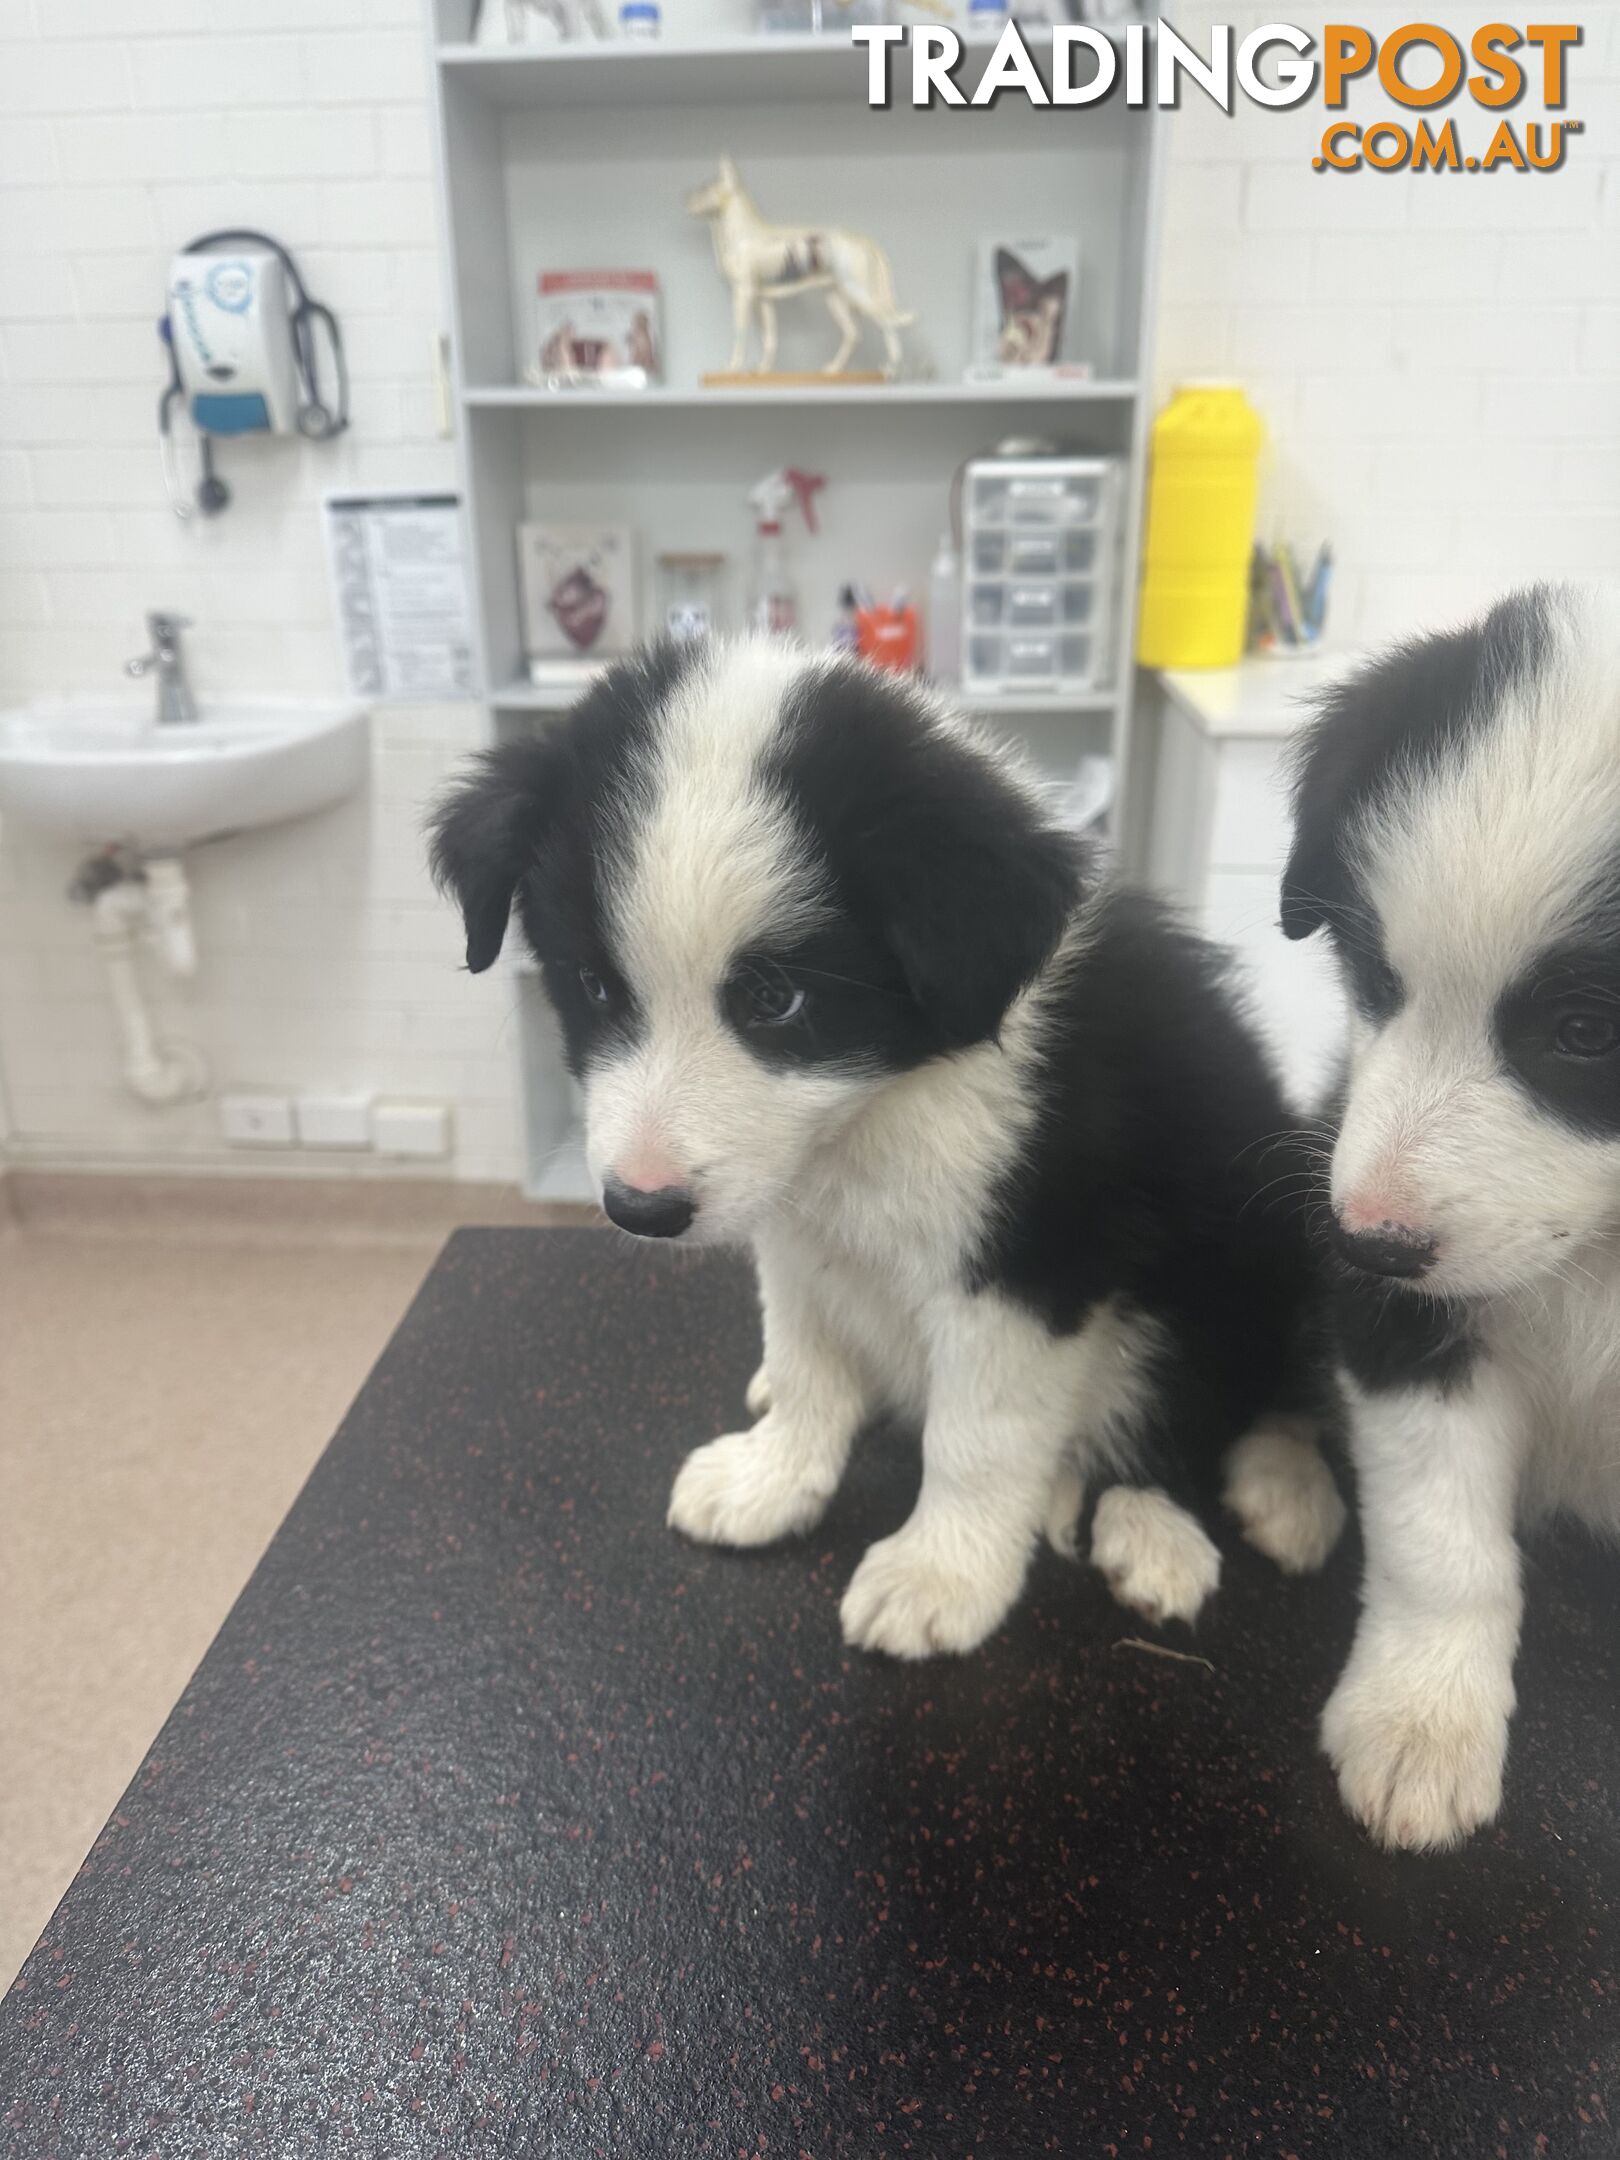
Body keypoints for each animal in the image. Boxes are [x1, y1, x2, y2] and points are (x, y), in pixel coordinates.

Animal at [432, 635, 1347, 1650]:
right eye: (593, 987)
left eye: (776, 999)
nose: (642, 1208)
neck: (872, 1116)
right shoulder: (797, 1236)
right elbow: (807, 1364)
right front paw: (771, 1480)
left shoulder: (1030, 1264)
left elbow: (977, 1434)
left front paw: (941, 1573)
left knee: (1244, 1400)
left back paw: (1217, 1514)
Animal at [1287, 583, 1620, 1848]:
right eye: (1373, 974)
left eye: (1587, 1032)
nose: (1363, 1242)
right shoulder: (1408, 1334)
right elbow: (1443, 1541)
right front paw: (1420, 1723)